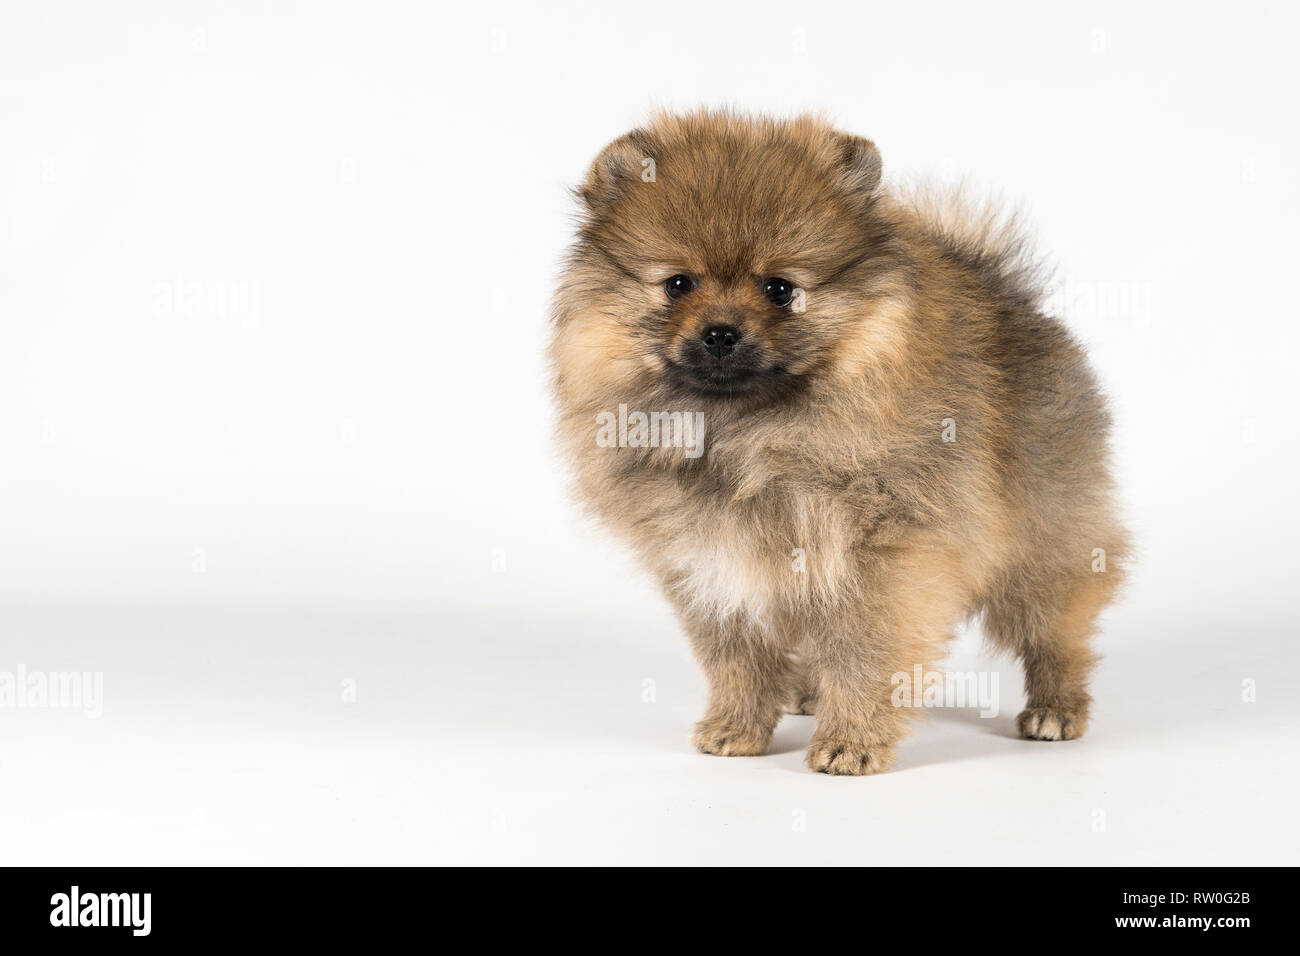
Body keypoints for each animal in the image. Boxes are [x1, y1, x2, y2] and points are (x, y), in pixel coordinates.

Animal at [548, 110, 1128, 780]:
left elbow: (863, 652)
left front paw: (851, 740)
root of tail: (1013, 298)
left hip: (1044, 539)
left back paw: (1056, 709)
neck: (749, 436)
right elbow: (737, 657)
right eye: (677, 284)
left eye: (779, 289)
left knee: (1056, 628)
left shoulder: (879, 558)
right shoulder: (707, 561)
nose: (720, 332)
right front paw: (737, 726)